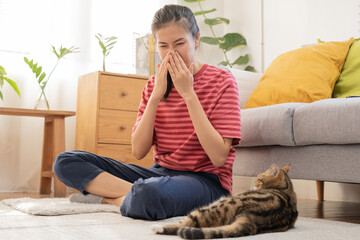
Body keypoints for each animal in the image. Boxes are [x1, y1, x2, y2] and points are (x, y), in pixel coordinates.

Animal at [151, 163, 298, 238]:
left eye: (258, 178)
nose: (255, 183)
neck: (286, 189)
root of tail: (250, 220)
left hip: (213, 208)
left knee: (185, 224)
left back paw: (157, 227)